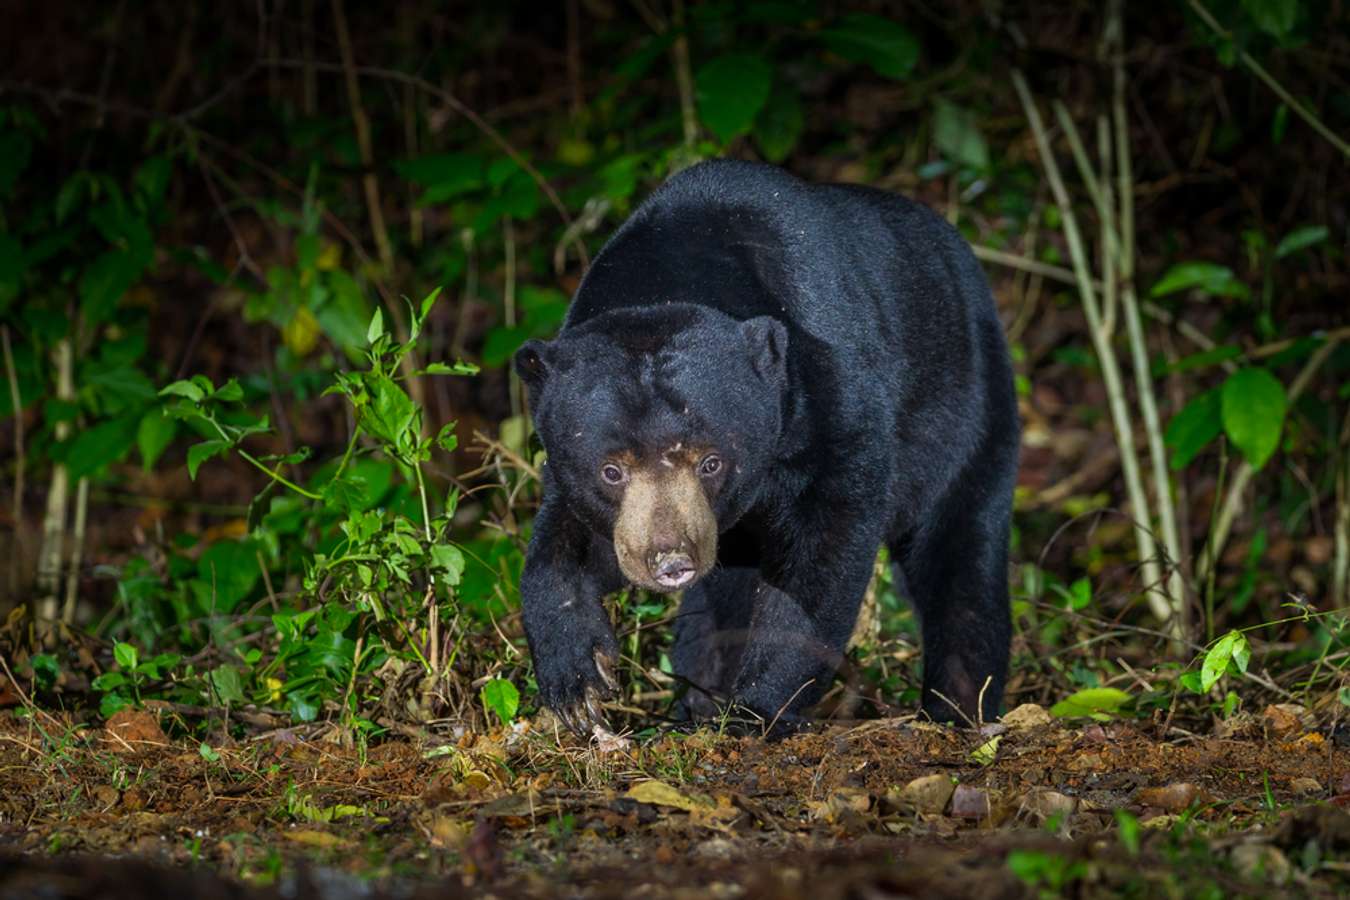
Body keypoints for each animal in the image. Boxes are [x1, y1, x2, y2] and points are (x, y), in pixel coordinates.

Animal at [510, 159, 1015, 739]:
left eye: (711, 461)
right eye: (612, 470)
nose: (670, 560)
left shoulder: (832, 399)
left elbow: (826, 547)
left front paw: (758, 707)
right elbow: (569, 542)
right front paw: (578, 680)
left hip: (969, 411)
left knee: (961, 551)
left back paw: (961, 706)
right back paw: (699, 700)